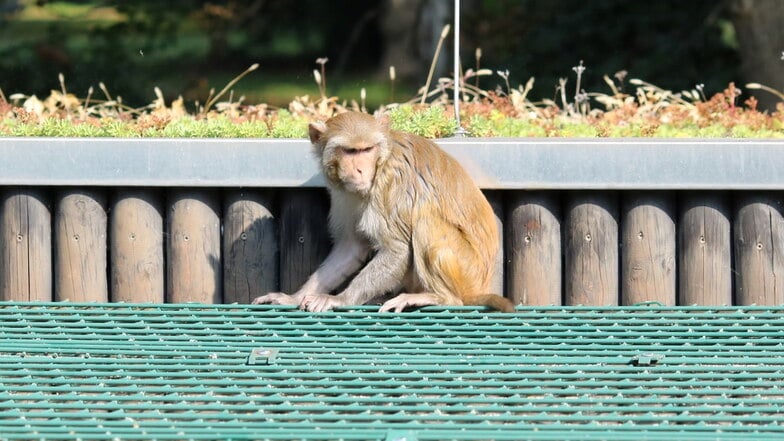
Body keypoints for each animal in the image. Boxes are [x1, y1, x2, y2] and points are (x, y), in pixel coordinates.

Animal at [254, 111, 516, 312]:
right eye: (349, 151)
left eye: (366, 150)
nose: (359, 170)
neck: (381, 159)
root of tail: (480, 285)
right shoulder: (344, 194)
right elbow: (351, 248)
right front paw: (293, 297)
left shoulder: (391, 185)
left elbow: (396, 250)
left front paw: (340, 299)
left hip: (465, 270)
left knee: (425, 219)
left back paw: (439, 297)